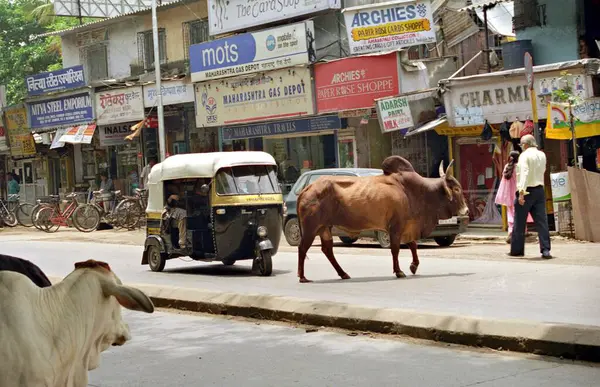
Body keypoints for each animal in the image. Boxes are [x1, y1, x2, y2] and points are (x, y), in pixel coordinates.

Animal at [296, 156, 468, 284]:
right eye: (457, 189)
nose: (466, 210)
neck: (416, 191)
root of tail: (306, 189)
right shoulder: (396, 227)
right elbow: (396, 249)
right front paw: (399, 271)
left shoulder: (407, 225)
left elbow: (412, 245)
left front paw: (413, 266)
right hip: (311, 228)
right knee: (302, 248)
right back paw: (302, 277)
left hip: (325, 228)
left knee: (327, 250)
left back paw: (343, 274)